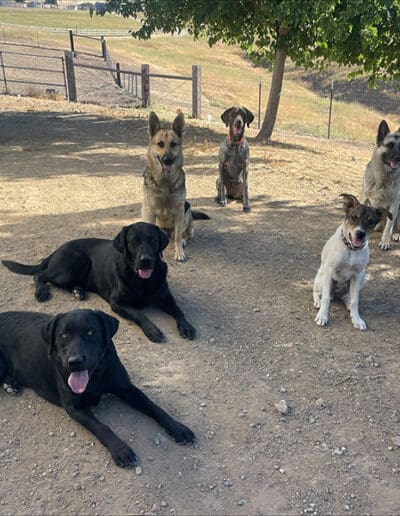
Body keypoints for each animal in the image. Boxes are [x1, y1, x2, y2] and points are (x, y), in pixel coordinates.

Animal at [0, 308, 195, 470]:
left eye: (90, 332)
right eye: (64, 335)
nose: (75, 361)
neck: (95, 376)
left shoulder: (127, 389)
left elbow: (154, 407)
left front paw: (177, 427)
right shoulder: (74, 407)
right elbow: (101, 426)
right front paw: (120, 449)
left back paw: (11, 384)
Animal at [2, 221, 196, 342]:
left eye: (153, 240)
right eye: (134, 242)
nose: (145, 260)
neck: (142, 281)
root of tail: (57, 249)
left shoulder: (166, 297)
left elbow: (179, 311)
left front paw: (186, 327)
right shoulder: (117, 303)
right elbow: (139, 314)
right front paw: (152, 330)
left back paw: (78, 291)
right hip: (73, 266)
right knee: (40, 275)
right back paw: (42, 291)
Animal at [312, 194, 390, 330]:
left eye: (371, 221)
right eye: (354, 218)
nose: (360, 234)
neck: (351, 250)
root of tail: (336, 294)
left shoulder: (358, 275)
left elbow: (355, 301)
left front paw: (356, 319)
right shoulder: (329, 270)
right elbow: (325, 298)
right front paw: (322, 317)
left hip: (363, 277)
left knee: (347, 296)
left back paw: (348, 304)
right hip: (321, 277)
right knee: (317, 292)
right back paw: (317, 302)